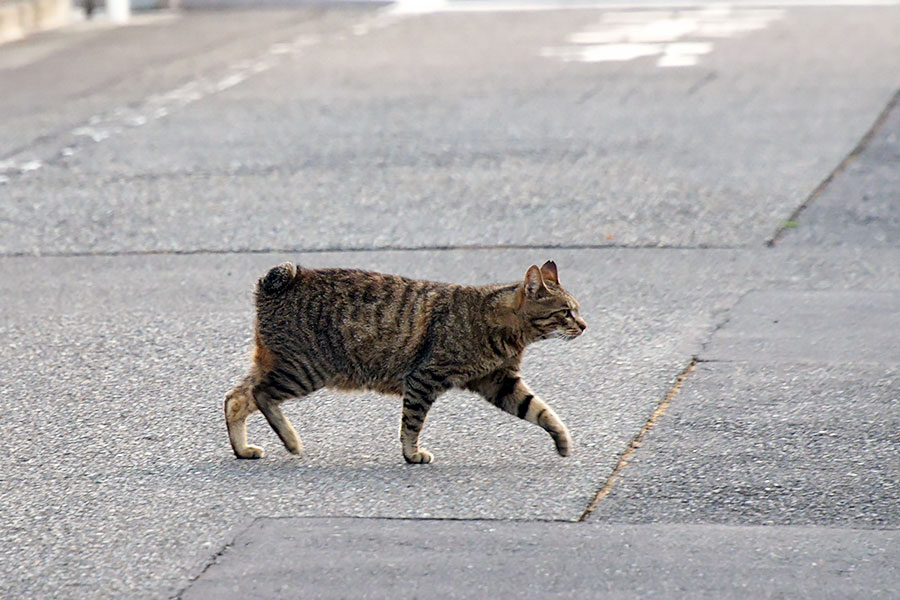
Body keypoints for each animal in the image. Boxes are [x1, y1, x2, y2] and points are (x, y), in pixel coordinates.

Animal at [225, 260, 588, 462]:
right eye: (566, 312)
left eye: (577, 310)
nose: (584, 325)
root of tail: (277, 283)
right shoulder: (425, 378)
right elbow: (412, 422)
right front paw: (411, 454)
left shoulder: (500, 382)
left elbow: (540, 410)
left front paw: (562, 441)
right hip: (304, 371)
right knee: (259, 394)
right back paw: (290, 440)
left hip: (282, 365)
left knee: (235, 398)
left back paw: (244, 450)